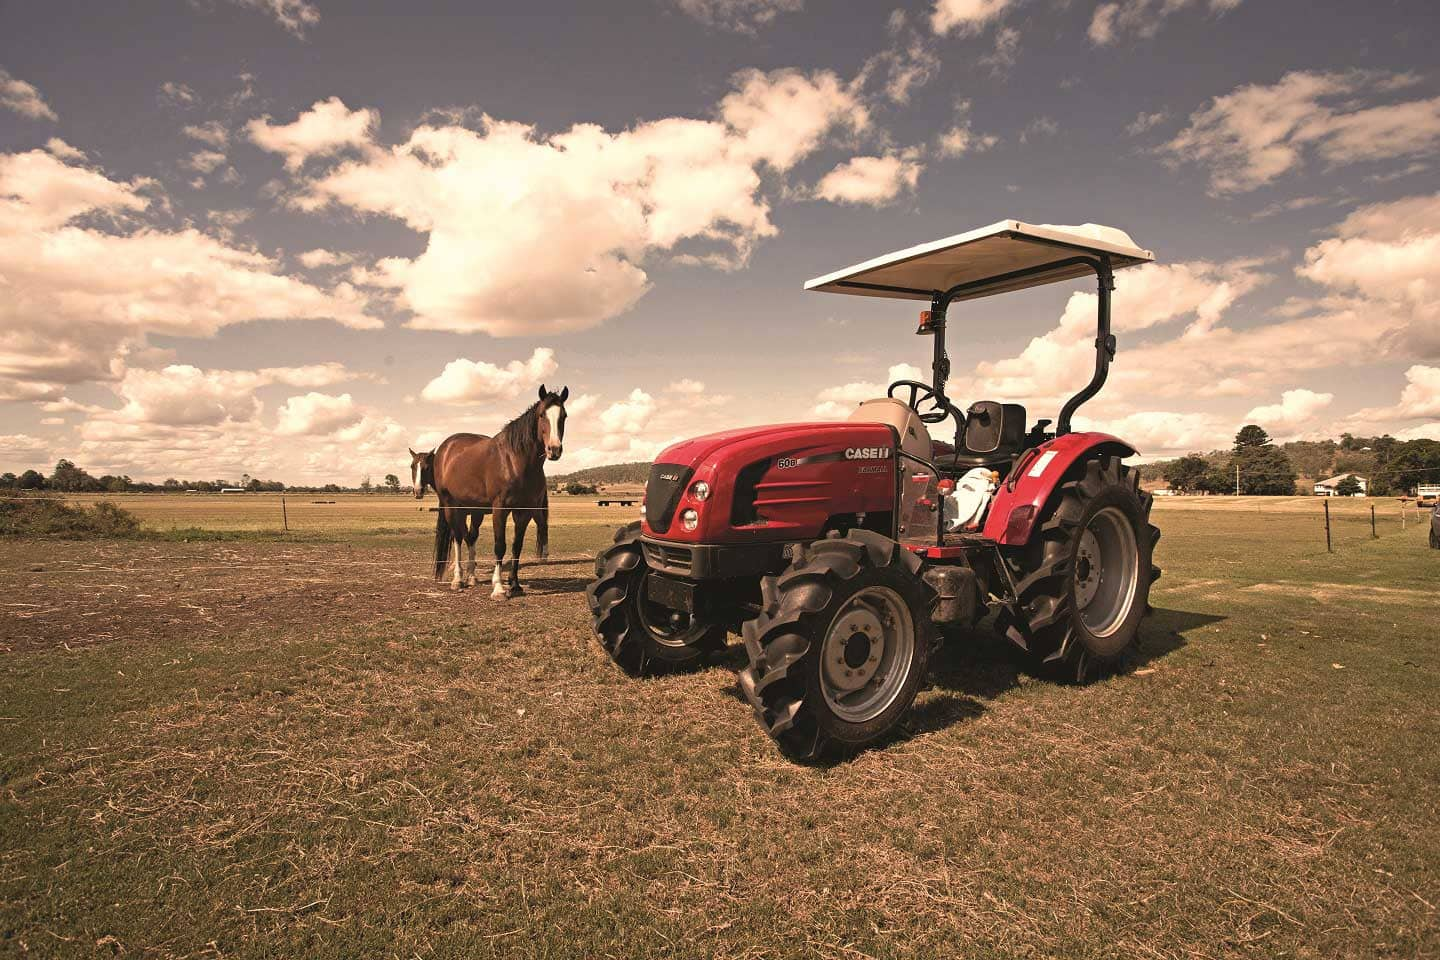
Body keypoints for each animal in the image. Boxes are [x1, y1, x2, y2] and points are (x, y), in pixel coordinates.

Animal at [429, 385, 564, 595]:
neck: (515, 461)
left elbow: (516, 546)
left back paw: (472, 578)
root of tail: (446, 448)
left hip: (473, 510)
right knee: (458, 538)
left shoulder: (524, 511)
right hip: (451, 506)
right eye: (542, 415)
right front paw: (499, 587)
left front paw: (515, 584)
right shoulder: (499, 510)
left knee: (470, 537)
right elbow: (500, 546)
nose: (554, 449)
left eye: (564, 416)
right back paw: (458, 579)